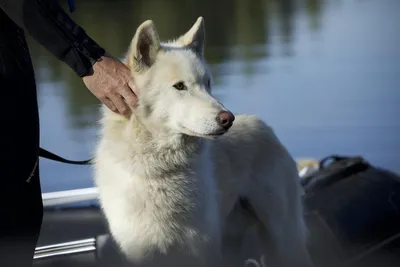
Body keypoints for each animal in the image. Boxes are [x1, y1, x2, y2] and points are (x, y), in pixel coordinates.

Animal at [93, 17, 312, 267]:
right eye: (180, 86)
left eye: (207, 84)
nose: (228, 119)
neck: (161, 170)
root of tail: (265, 126)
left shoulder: (200, 249)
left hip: (284, 240)